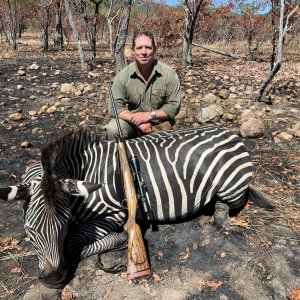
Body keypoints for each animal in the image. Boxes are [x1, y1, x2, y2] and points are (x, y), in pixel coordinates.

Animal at [0, 125, 274, 288]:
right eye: (29, 229)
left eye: (64, 225)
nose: (53, 279)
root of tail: (230, 132)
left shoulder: (114, 213)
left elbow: (72, 244)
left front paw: (116, 241)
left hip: (231, 187)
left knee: (224, 210)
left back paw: (216, 216)